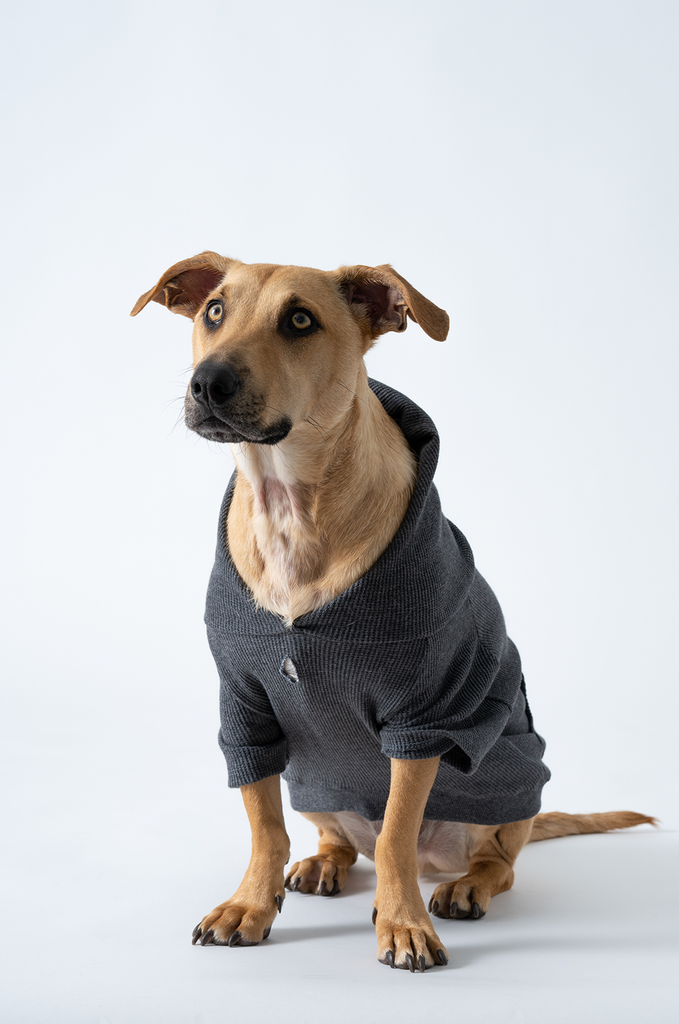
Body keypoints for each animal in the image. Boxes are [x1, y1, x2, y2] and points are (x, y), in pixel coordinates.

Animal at [131, 252, 654, 972]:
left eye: (300, 320)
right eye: (214, 310)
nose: (208, 382)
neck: (289, 509)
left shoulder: (422, 717)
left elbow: (396, 836)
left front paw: (401, 922)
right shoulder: (245, 705)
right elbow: (265, 826)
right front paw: (250, 905)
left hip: (505, 800)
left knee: (493, 863)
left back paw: (462, 886)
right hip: (313, 780)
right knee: (341, 840)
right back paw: (321, 863)